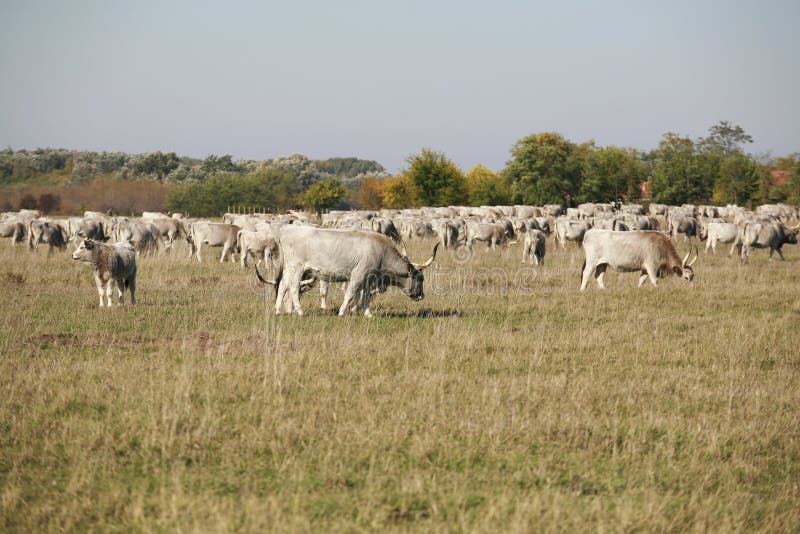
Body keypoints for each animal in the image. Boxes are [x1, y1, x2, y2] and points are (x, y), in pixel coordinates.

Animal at [274, 226, 438, 318]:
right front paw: (341, 312)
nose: (422, 295)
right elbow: (350, 293)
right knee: (293, 288)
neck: (382, 251)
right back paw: (300, 311)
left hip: (289, 269)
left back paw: (279, 310)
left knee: (282, 286)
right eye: (420, 279)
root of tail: (286, 230)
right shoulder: (358, 274)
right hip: (297, 268)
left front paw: (367, 314)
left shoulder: (369, 278)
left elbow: (365, 296)